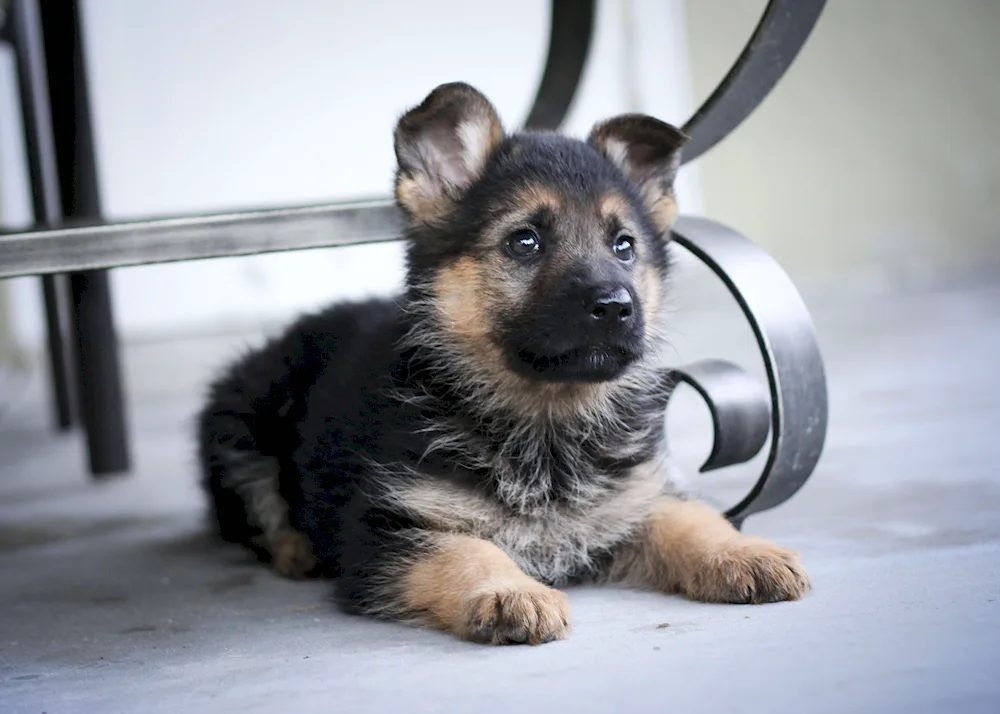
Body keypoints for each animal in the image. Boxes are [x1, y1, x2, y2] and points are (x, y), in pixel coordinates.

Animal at [197, 83, 812, 644]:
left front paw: (742, 552)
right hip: (243, 417)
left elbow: (691, 518)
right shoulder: (387, 532)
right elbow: (464, 549)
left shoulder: (634, 500)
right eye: (524, 241)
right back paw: (295, 548)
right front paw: (508, 590)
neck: (546, 423)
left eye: (624, 246)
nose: (616, 307)